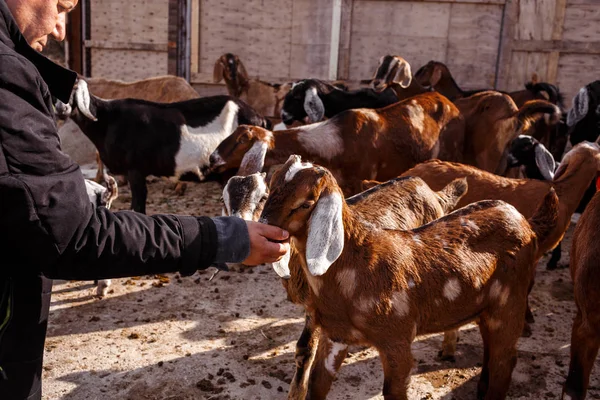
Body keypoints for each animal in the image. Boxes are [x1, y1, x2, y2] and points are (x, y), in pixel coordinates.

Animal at [55, 79, 268, 214]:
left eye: (74, 91)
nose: (61, 109)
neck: (107, 120)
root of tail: (260, 118)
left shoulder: (135, 170)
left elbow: (138, 207)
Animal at [260, 155, 560, 398]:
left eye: (306, 202)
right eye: (270, 187)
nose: (264, 228)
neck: (356, 265)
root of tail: (526, 223)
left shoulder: (397, 338)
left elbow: (393, 390)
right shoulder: (335, 335)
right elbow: (316, 385)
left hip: (510, 305)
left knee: (504, 363)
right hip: (487, 311)